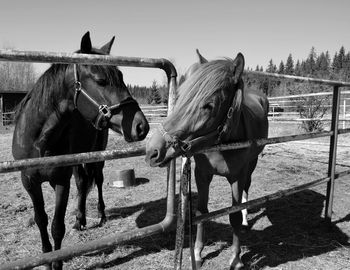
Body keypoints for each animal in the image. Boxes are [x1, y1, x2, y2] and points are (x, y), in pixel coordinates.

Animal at [11, 32, 149, 270]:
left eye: (122, 76)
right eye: (101, 80)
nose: (141, 126)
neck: (38, 139)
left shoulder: (61, 180)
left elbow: (57, 225)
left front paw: (56, 262)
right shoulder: (29, 181)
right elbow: (41, 220)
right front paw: (46, 259)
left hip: (98, 155)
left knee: (97, 180)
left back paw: (100, 215)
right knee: (82, 183)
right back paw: (79, 220)